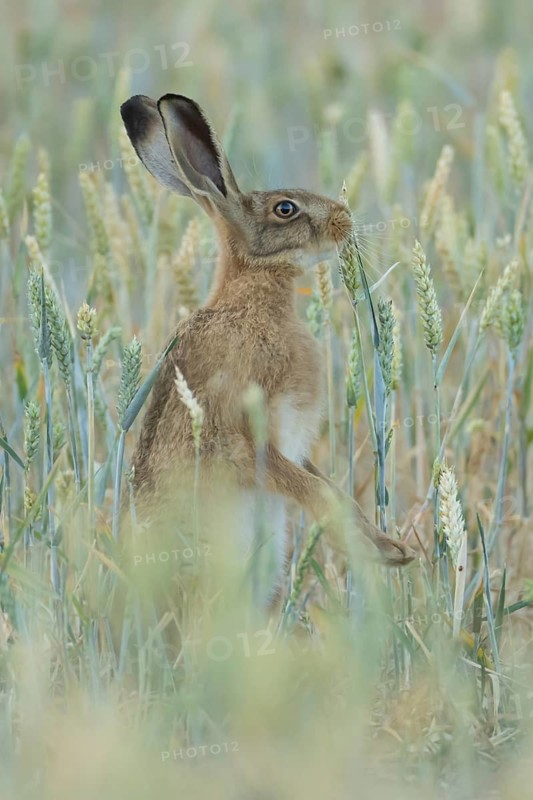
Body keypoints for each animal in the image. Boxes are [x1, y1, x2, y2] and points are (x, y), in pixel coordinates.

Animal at [119, 93, 415, 605]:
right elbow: (312, 489)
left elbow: (329, 485)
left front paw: (390, 548)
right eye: (285, 209)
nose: (345, 218)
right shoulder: (240, 435)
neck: (253, 293)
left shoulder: (294, 448)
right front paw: (370, 547)